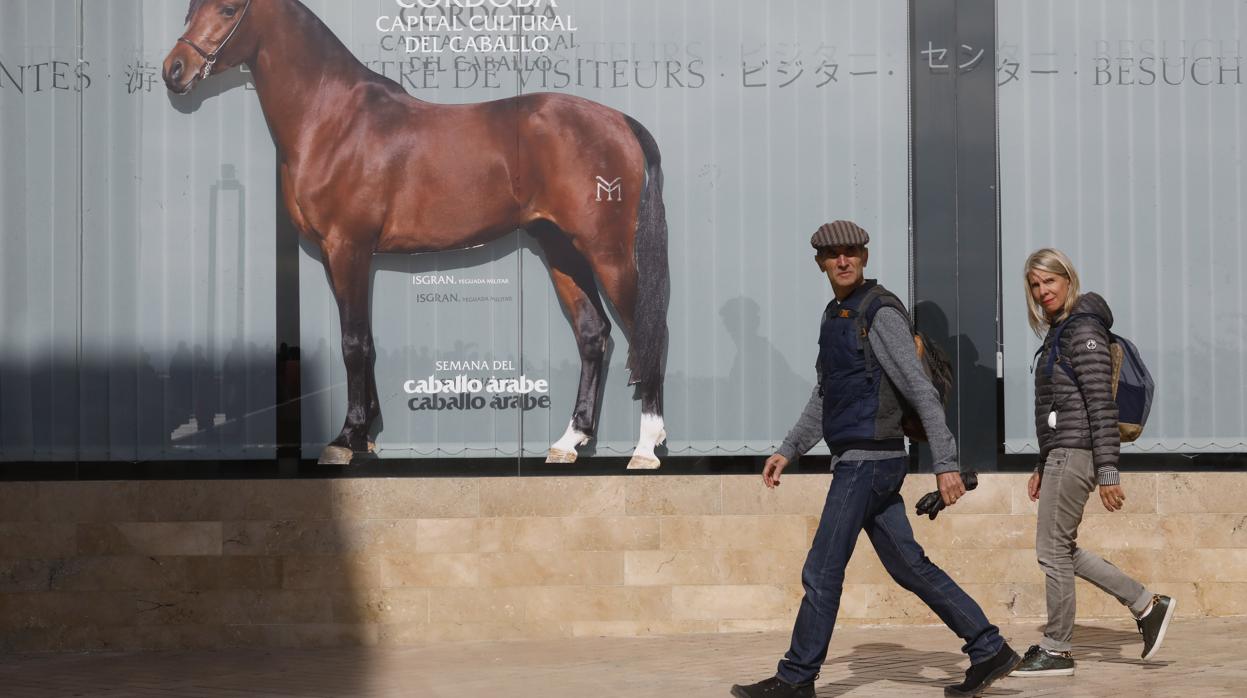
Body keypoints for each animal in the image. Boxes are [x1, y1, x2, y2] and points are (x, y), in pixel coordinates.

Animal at [165, 1, 673, 468]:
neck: (332, 120)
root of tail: (619, 121)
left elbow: (353, 343)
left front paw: (344, 438)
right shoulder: (339, 255)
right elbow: (364, 341)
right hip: (560, 247)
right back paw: (569, 441)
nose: (174, 69)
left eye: (228, 9)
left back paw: (646, 447)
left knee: (650, 333)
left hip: (607, 252)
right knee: (593, 333)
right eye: (191, 8)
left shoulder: (348, 247)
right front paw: (365, 436)